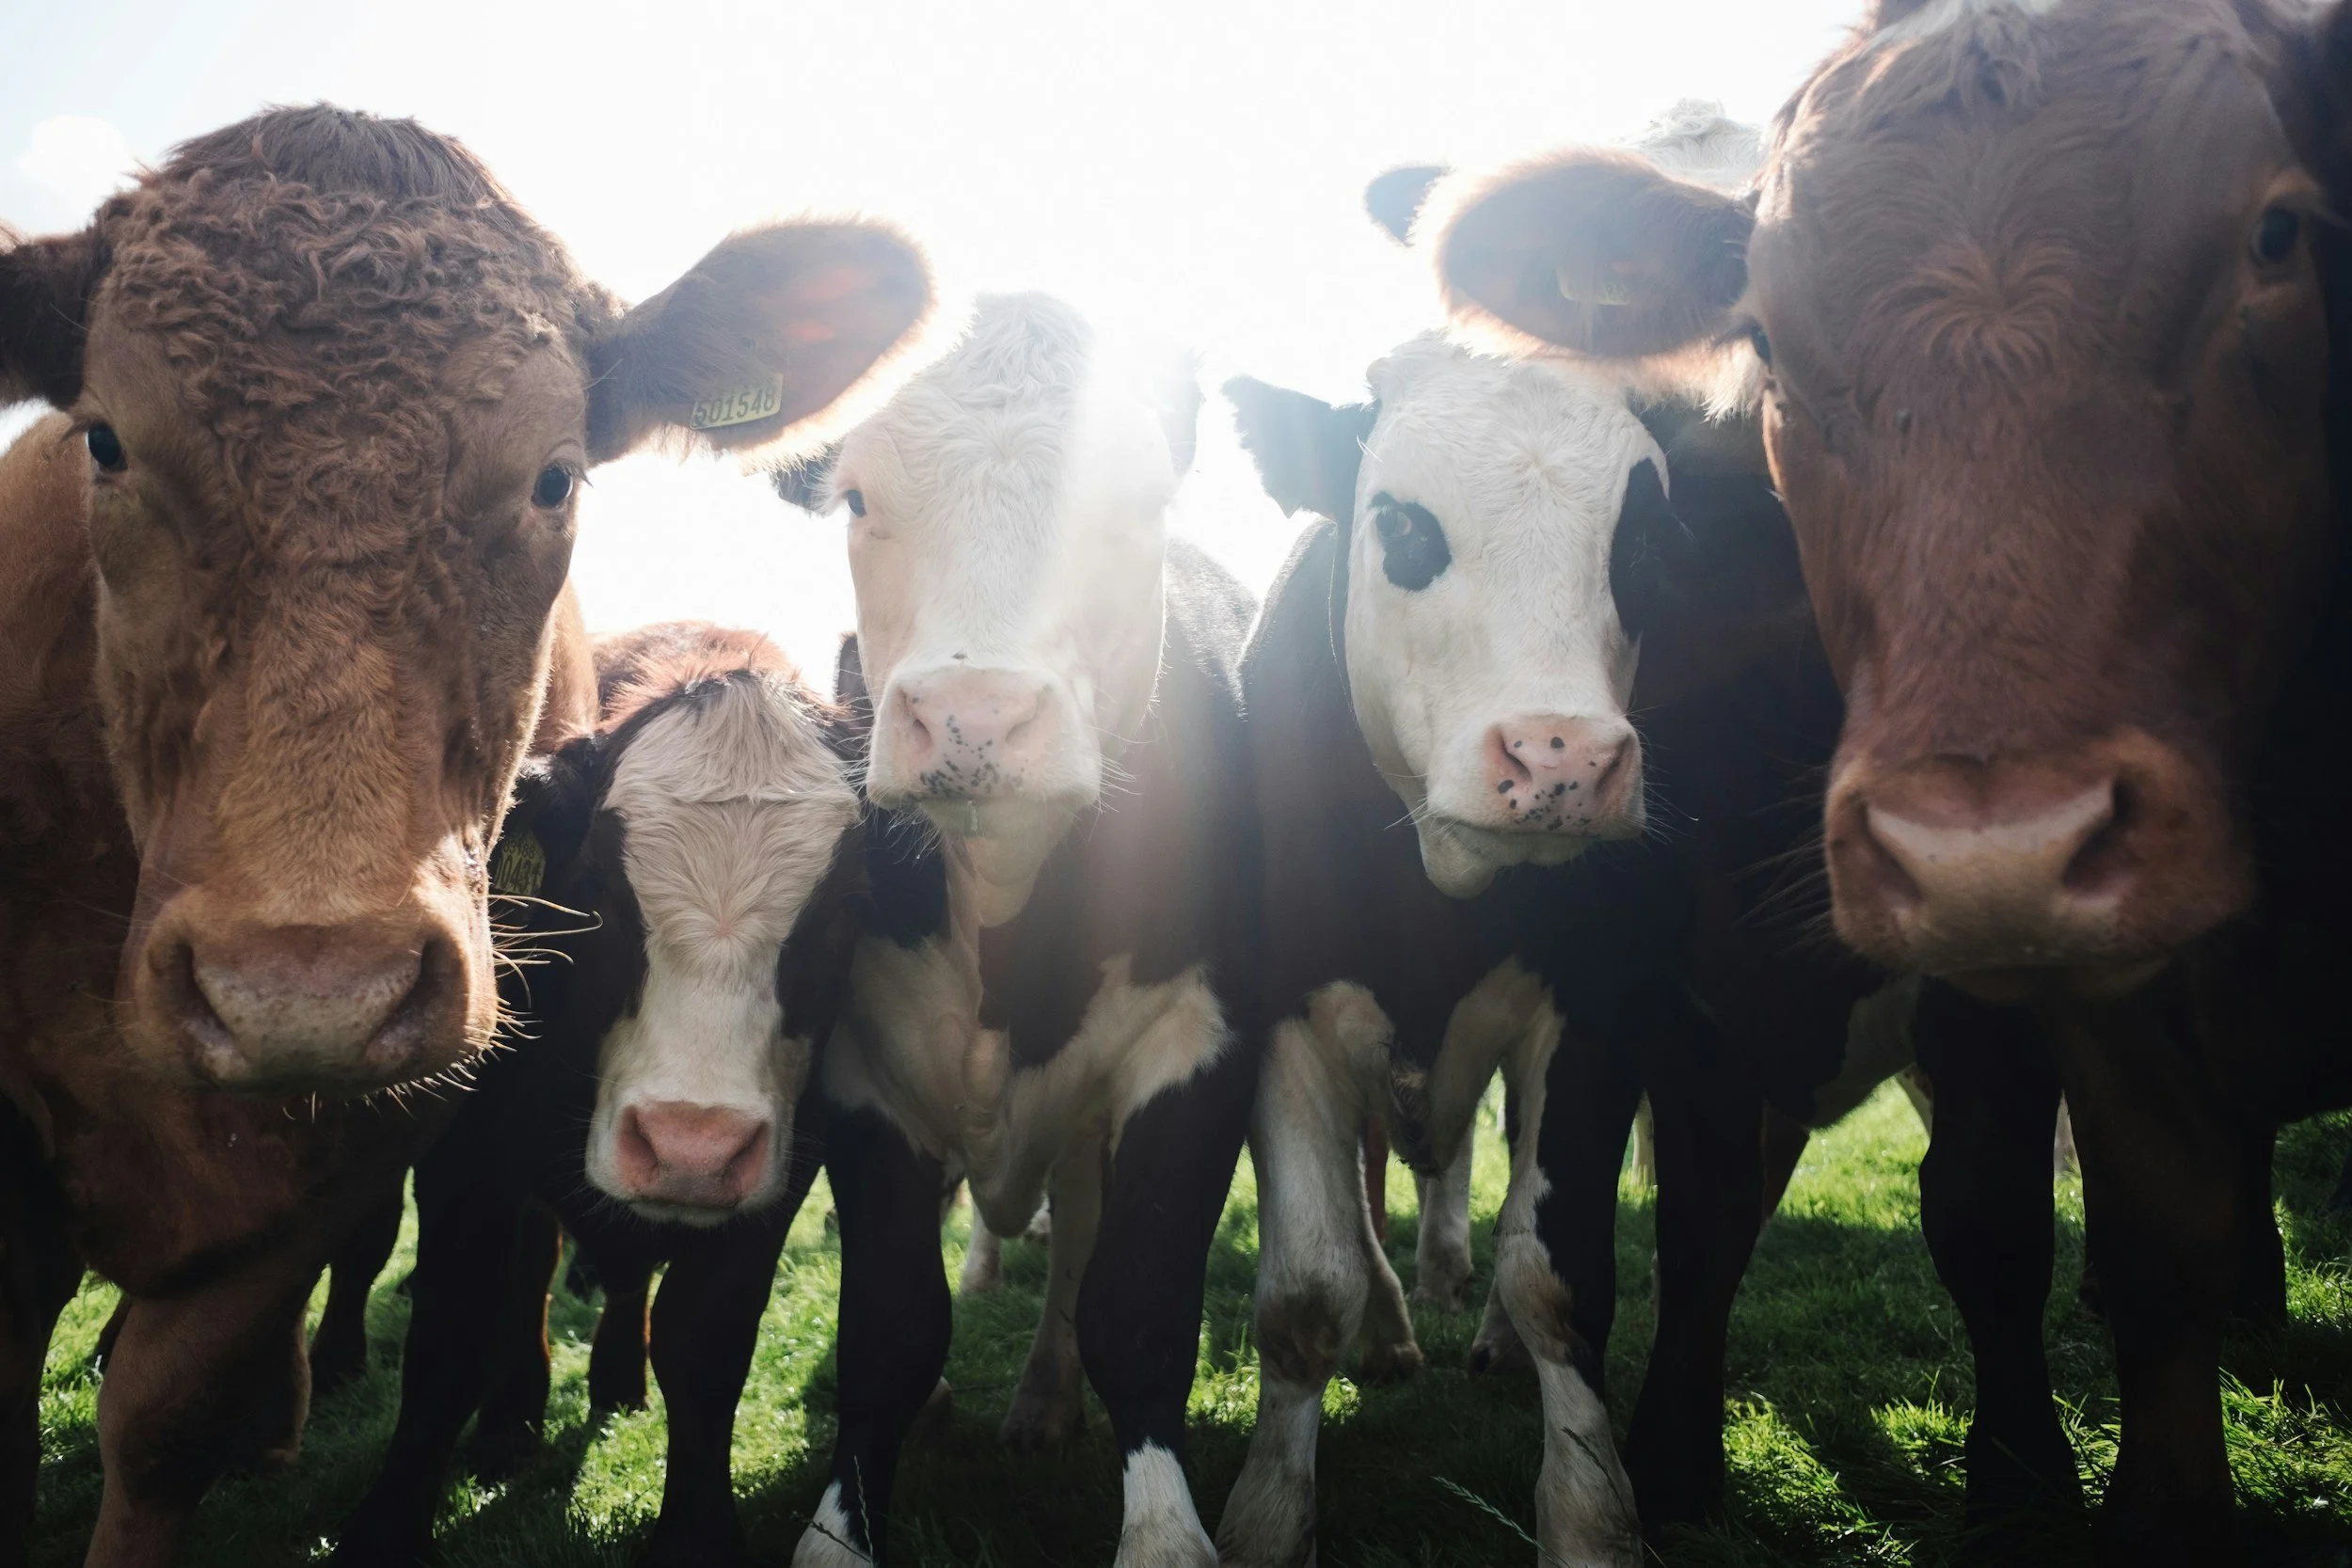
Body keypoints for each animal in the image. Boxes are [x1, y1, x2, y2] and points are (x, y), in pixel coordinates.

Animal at [334, 622, 869, 1568]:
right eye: (600, 895)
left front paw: (695, 1534)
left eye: (841, 909)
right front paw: (385, 1527)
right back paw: (510, 1419)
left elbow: (706, 1342)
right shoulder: (469, 1156)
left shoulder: (782, 1170)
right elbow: (451, 1332)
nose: (690, 1145)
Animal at [785, 293, 1257, 1568]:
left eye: (1136, 499)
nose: (973, 716)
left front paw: (1162, 1531)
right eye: (858, 497)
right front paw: (838, 1528)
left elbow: (1135, 1304)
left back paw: (1044, 1399)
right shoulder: (863, 1070)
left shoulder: (1197, 1042)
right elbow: (889, 1329)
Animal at [1419, 3, 2352, 1559]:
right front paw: (1671, 1458)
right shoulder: (1670, 966)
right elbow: (1698, 1214)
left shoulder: (2000, 995)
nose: (1994, 844)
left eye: (2279, 236)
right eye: (1762, 326)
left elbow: (1990, 1215)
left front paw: (2024, 1475)